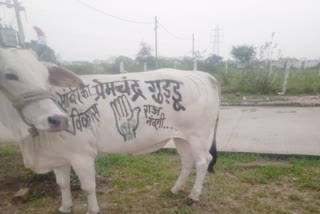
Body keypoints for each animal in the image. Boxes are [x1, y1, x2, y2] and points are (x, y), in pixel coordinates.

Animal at [0, 47, 220, 213]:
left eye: (46, 77)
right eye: (10, 75)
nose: (58, 120)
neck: (32, 143)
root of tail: (202, 74)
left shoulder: (82, 155)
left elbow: (88, 187)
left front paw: (92, 210)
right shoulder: (59, 156)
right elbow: (62, 183)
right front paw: (65, 207)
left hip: (199, 135)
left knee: (203, 161)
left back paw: (193, 196)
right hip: (180, 137)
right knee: (187, 162)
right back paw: (176, 189)